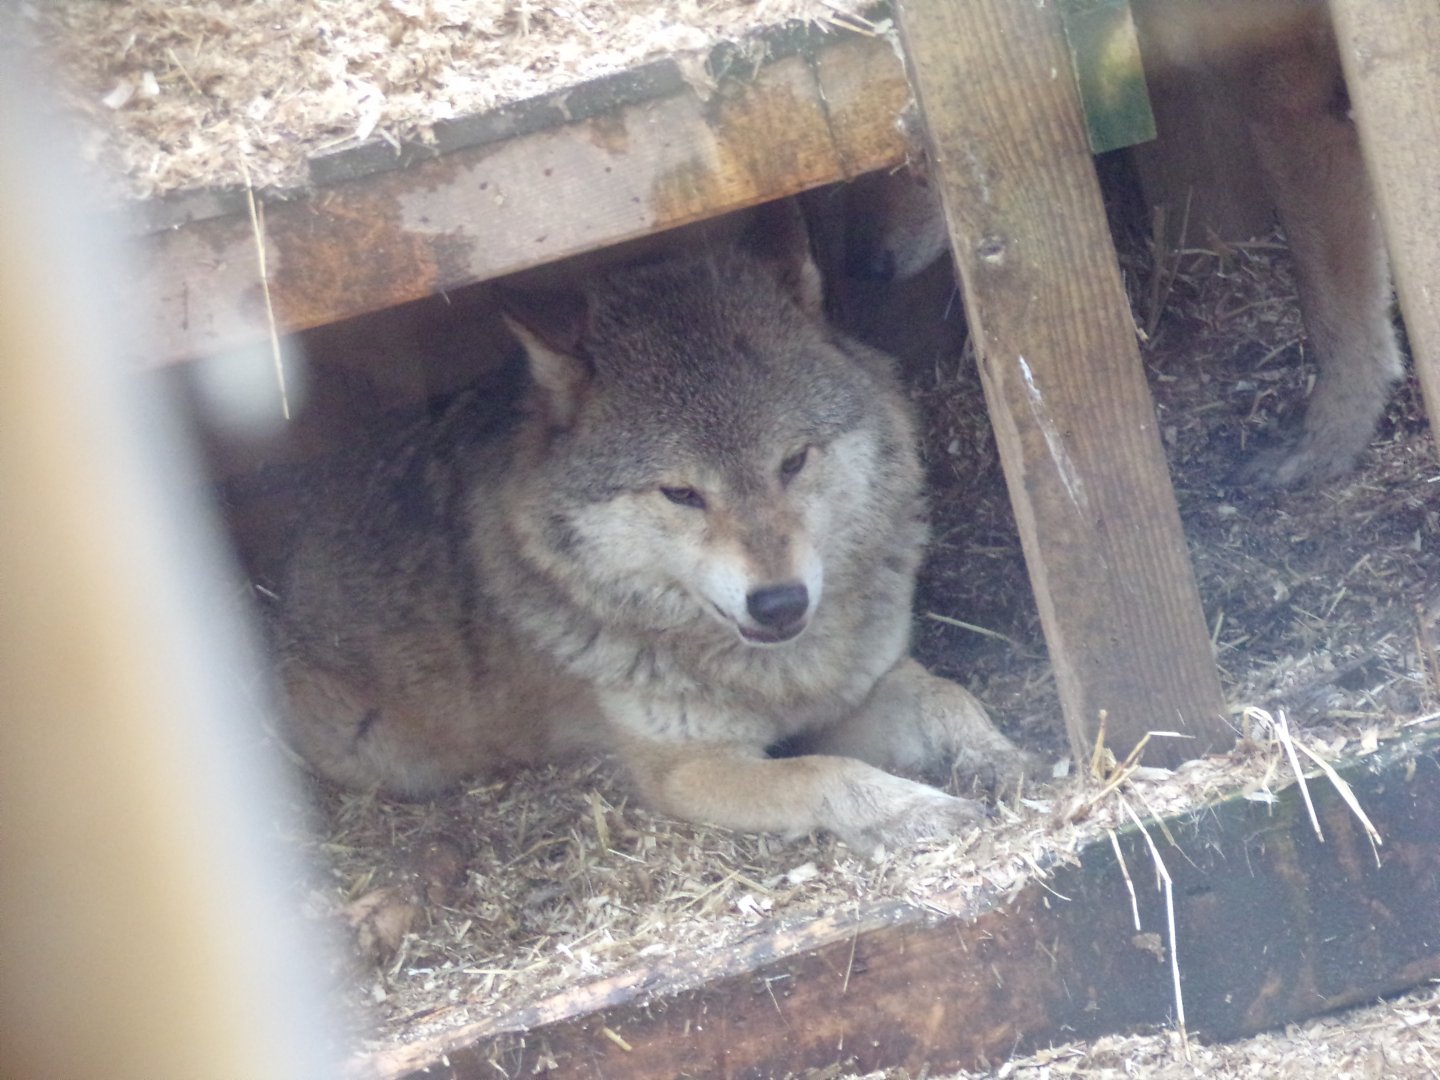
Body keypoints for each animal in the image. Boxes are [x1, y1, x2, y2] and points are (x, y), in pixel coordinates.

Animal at [272, 202, 1032, 852]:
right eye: (681, 493)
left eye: (792, 461)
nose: (779, 602)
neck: (780, 678)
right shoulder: (686, 768)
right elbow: (822, 772)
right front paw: (914, 811)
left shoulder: (867, 688)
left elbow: (947, 696)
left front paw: (998, 756)